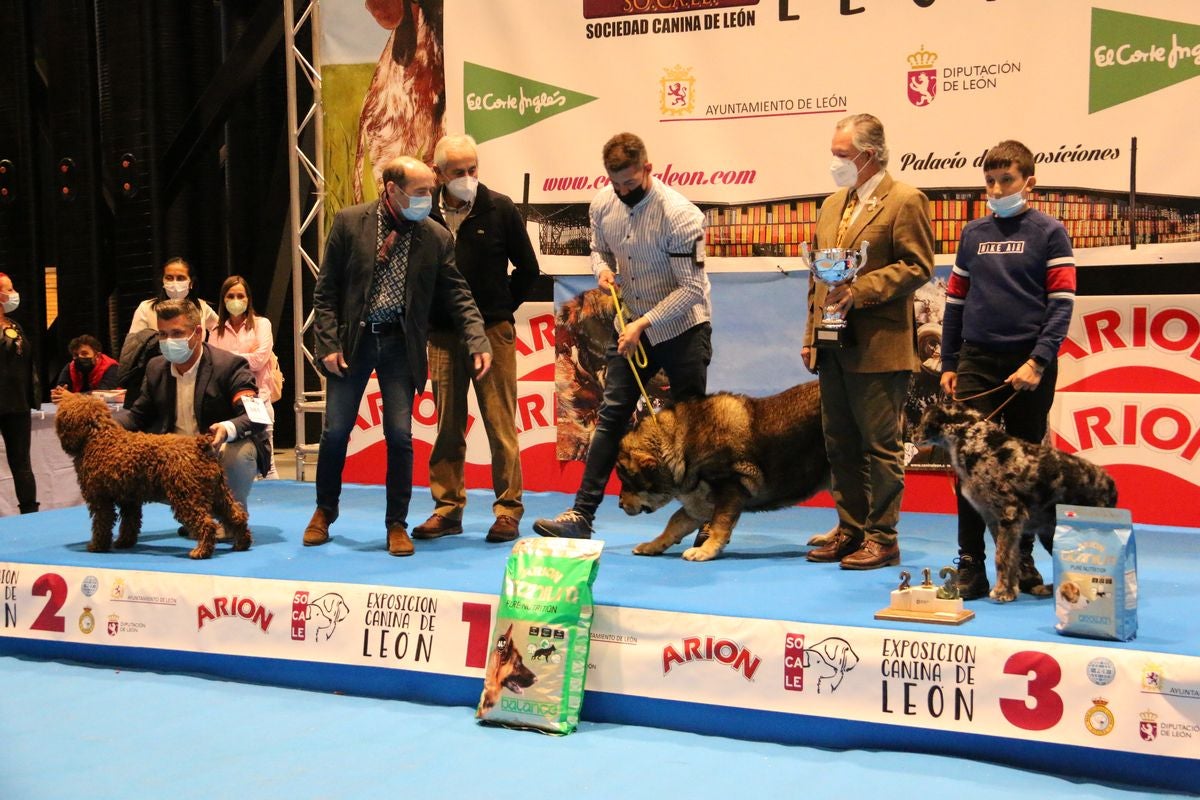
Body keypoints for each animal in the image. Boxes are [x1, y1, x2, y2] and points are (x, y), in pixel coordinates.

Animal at [55, 393, 249, 556]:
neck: (98, 438)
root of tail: (199, 446)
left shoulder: (101, 499)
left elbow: (102, 524)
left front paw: (97, 546)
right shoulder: (129, 500)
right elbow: (130, 524)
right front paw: (124, 543)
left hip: (187, 496)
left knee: (207, 525)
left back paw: (201, 551)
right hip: (217, 494)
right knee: (237, 516)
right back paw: (241, 544)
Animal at [614, 383, 830, 563]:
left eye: (628, 482)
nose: (619, 504)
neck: (679, 446)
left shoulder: (730, 487)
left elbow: (719, 524)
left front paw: (706, 550)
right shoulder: (697, 504)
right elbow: (674, 524)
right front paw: (652, 546)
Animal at [912, 402, 1118, 604]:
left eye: (923, 420)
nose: (913, 436)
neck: (976, 441)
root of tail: (1109, 482)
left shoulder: (1010, 514)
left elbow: (1002, 558)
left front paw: (1003, 591)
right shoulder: (994, 520)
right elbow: (1009, 557)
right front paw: (1011, 588)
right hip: (1050, 533)